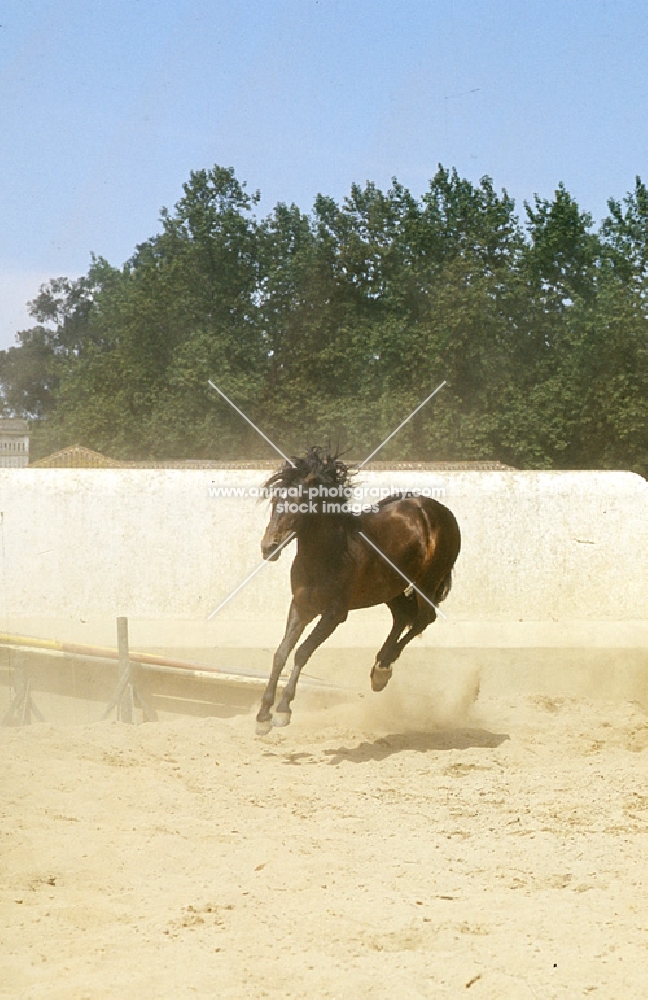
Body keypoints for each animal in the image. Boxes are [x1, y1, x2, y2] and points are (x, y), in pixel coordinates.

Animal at [256, 448, 458, 736]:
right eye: (275, 501)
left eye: (300, 503)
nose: (268, 547)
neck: (328, 554)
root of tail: (441, 512)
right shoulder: (301, 606)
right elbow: (281, 653)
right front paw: (263, 716)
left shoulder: (335, 614)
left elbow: (302, 651)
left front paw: (283, 712)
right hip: (391, 589)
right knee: (402, 617)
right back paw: (379, 670)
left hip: (426, 582)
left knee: (423, 618)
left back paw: (383, 670)